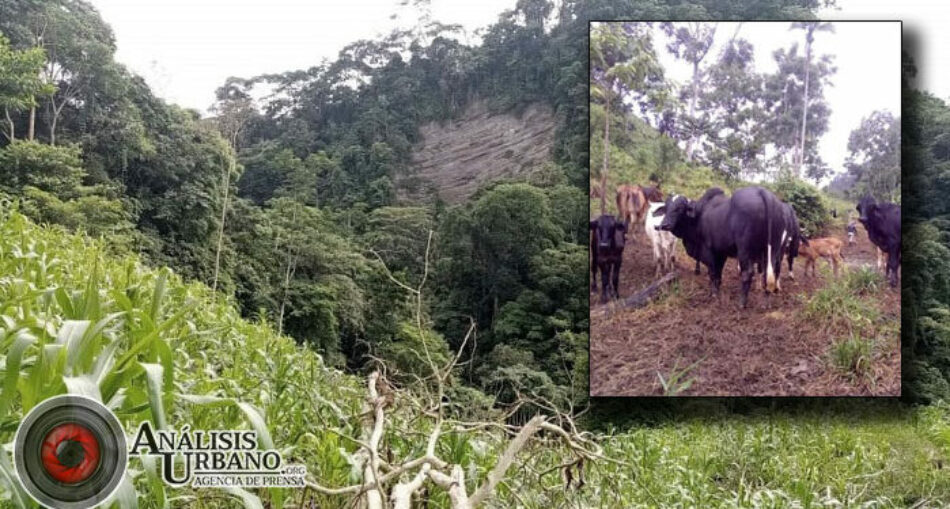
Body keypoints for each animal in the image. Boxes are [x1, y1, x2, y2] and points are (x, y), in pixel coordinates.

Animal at [660, 186, 788, 308]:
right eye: (666, 207)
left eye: (679, 208)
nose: (664, 225)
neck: (698, 216)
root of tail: (763, 192)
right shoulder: (721, 253)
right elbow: (718, 273)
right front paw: (717, 290)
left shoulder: (708, 251)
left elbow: (712, 273)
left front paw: (713, 294)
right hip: (772, 250)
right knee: (769, 273)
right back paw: (766, 303)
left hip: (744, 251)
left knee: (748, 273)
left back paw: (742, 303)